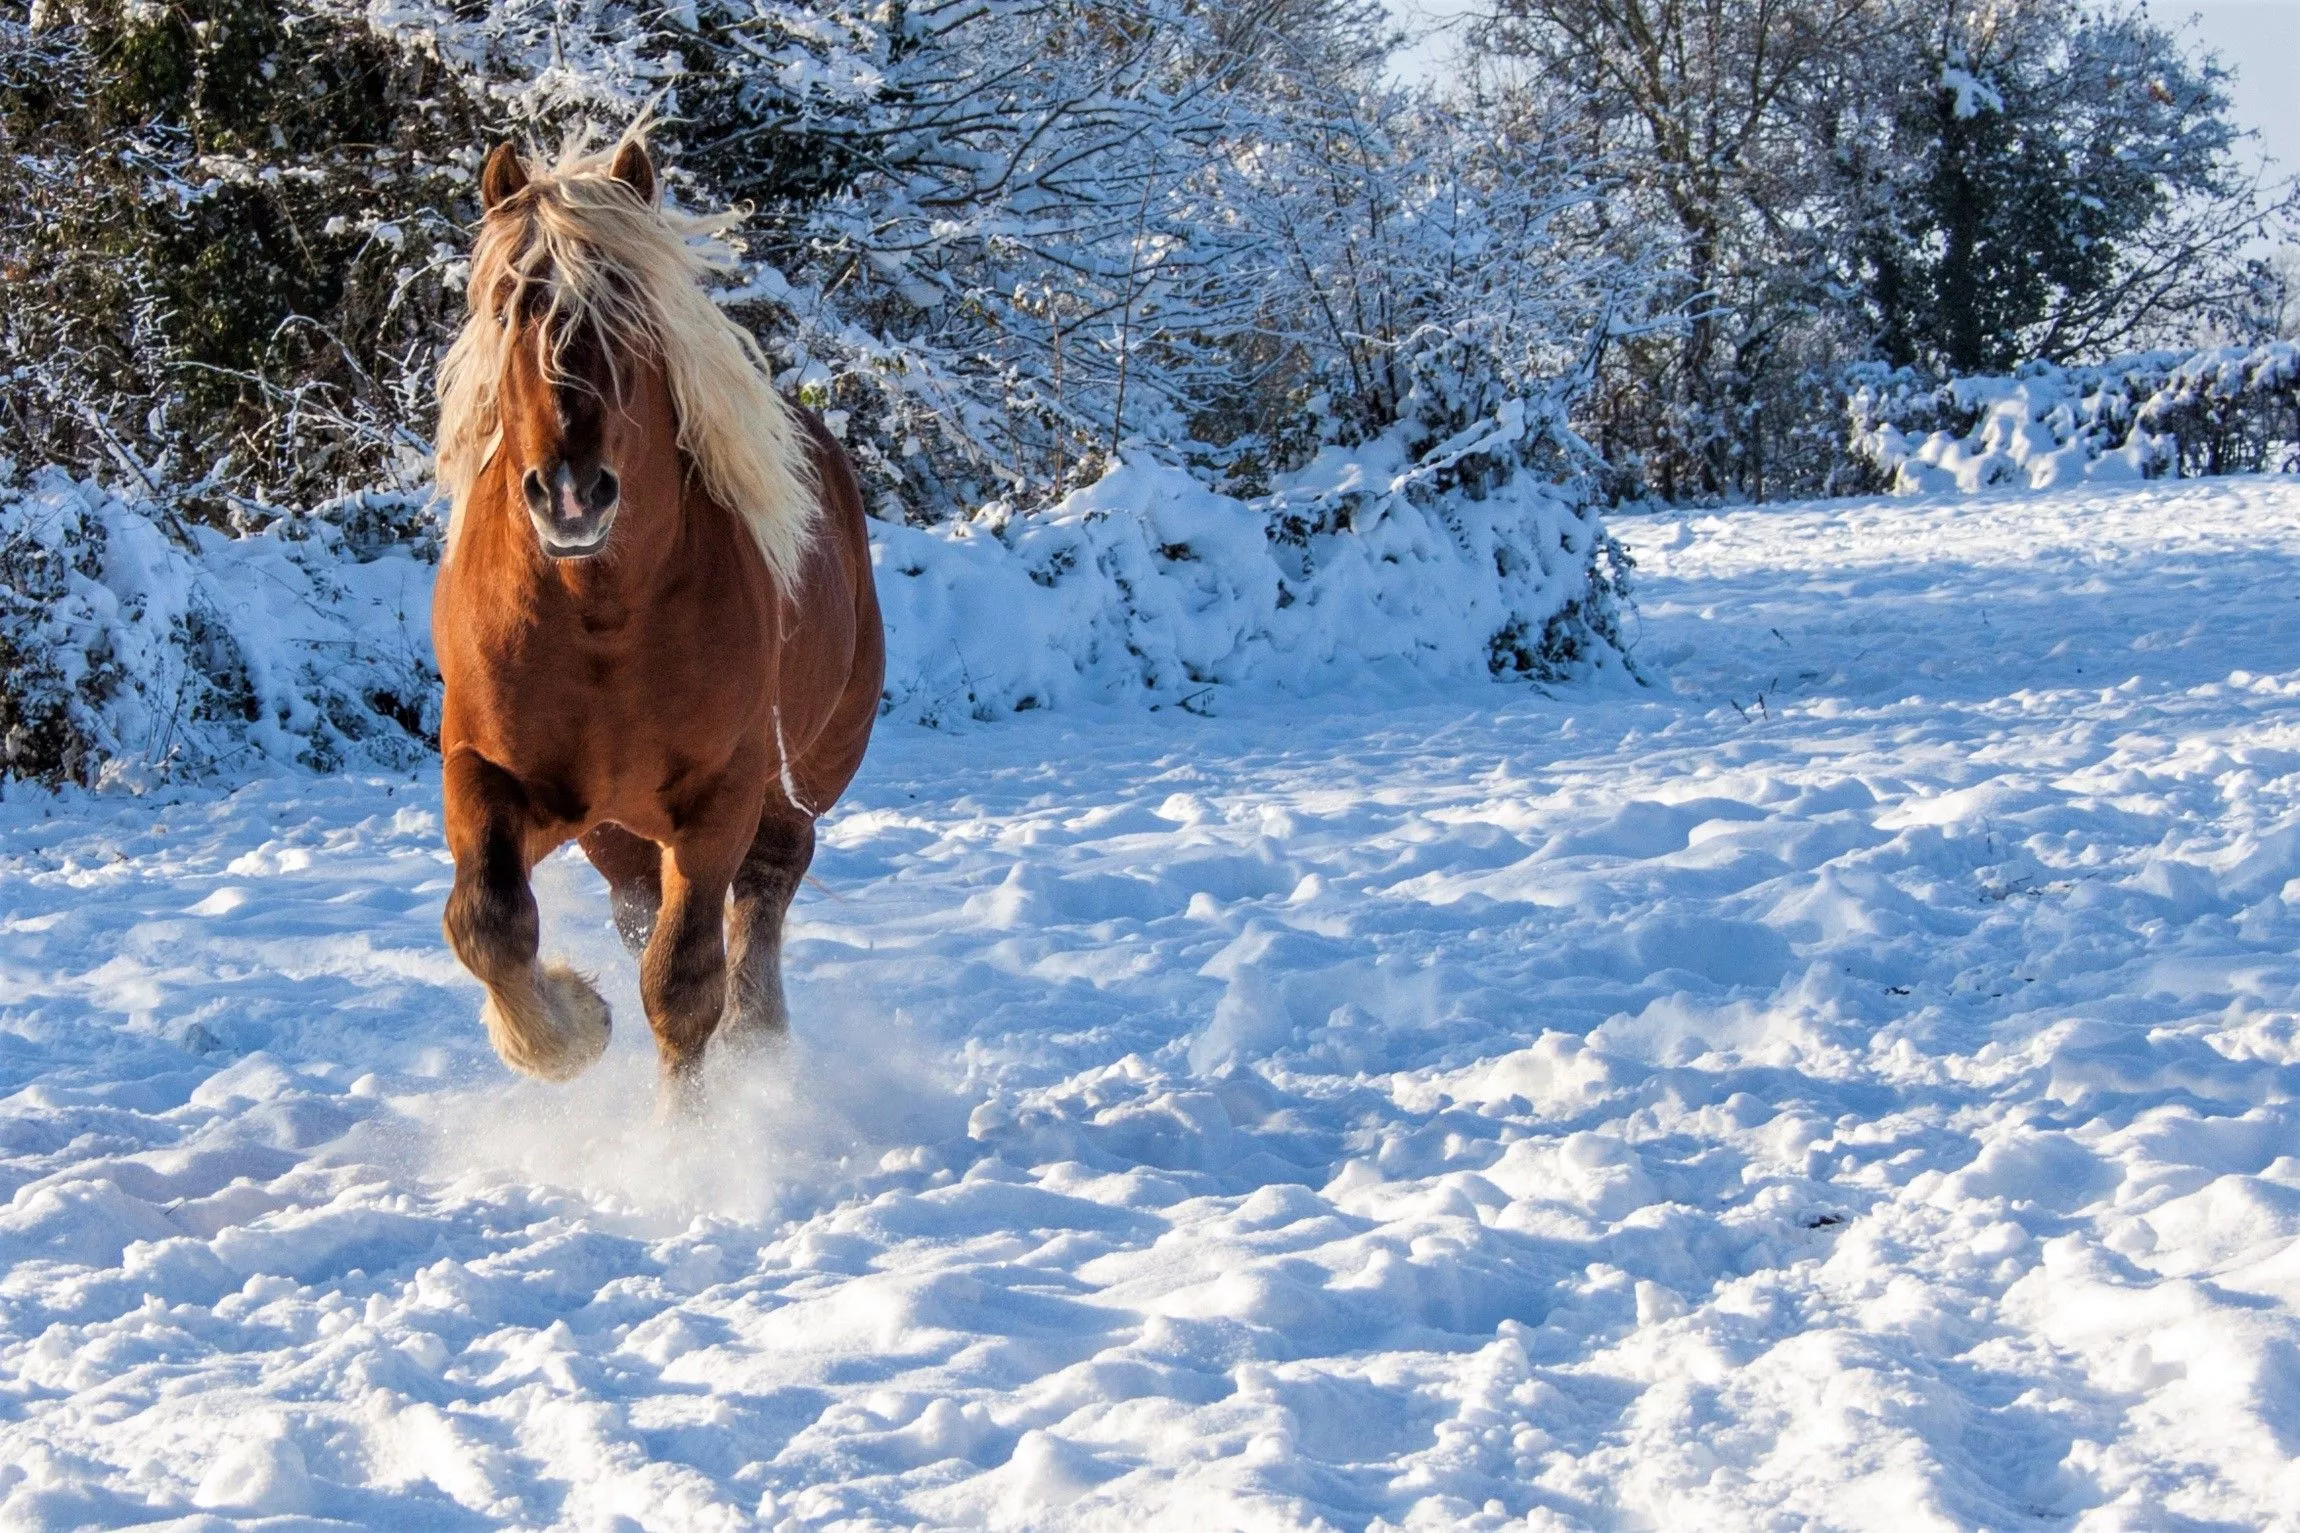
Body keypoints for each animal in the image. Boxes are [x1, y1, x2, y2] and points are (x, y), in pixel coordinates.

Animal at [429, 129, 883, 1110]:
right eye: (507, 305)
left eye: (628, 309)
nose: (571, 492)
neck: (600, 618)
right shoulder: (487, 769)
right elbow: (489, 922)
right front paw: (569, 1026)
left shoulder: (719, 797)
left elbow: (682, 985)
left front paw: (691, 1137)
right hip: (616, 827)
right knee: (643, 908)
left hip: (791, 780)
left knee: (768, 887)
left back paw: (758, 1039)